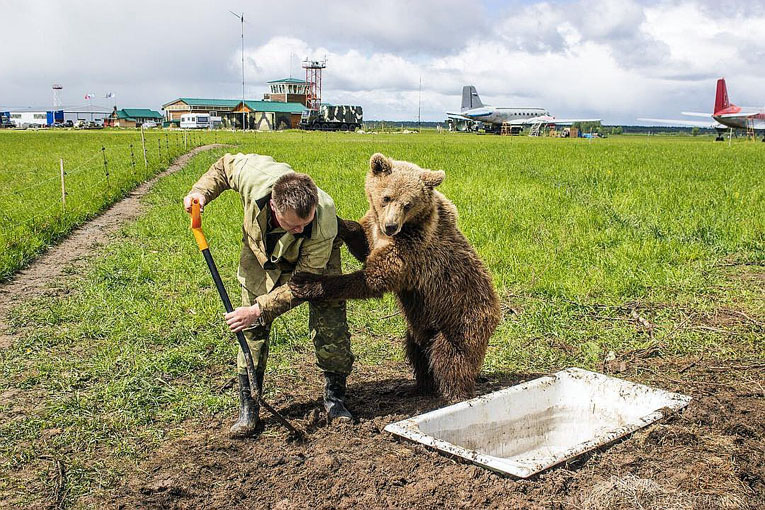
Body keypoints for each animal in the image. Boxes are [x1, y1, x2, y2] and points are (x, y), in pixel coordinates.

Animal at [288, 153, 502, 400]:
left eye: (408, 204)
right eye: (386, 197)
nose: (391, 226)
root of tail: (496, 311)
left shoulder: (410, 249)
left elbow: (372, 278)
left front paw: (305, 282)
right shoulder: (375, 231)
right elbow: (362, 241)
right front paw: (340, 222)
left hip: (462, 319)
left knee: (450, 359)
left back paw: (453, 395)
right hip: (421, 323)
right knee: (417, 353)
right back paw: (417, 387)